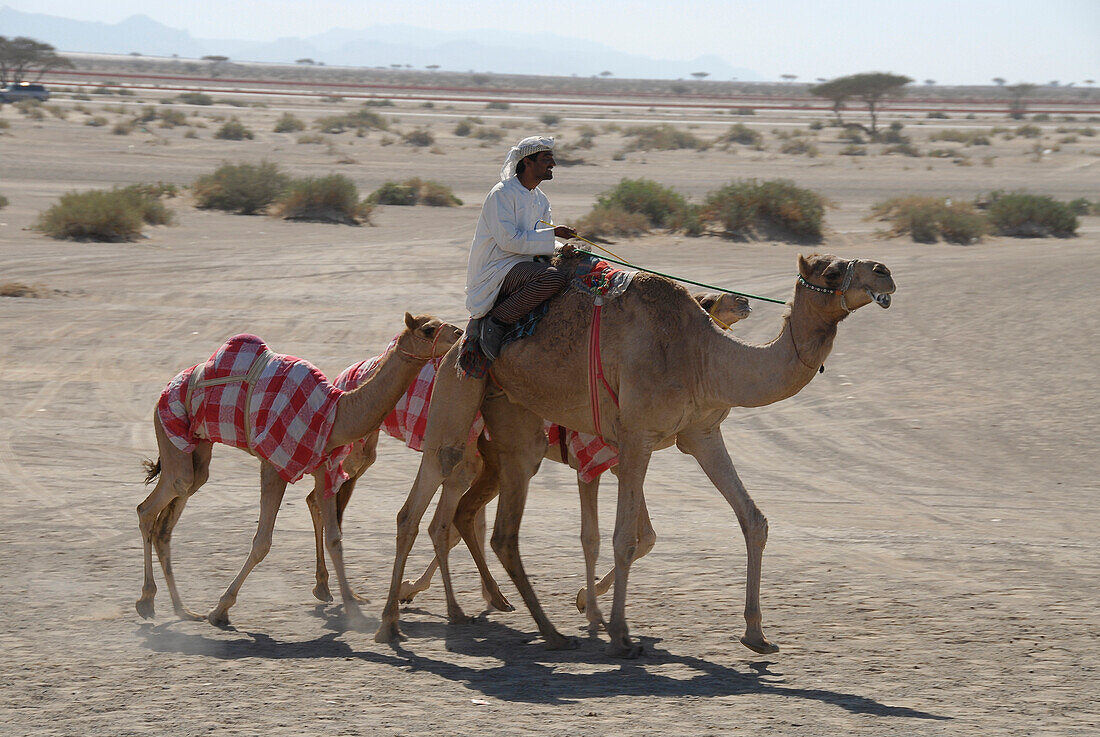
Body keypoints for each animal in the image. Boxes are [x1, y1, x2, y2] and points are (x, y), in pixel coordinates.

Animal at [136, 314, 459, 633]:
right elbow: (262, 541)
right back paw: (147, 602)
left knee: (172, 514)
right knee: (151, 505)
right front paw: (220, 609)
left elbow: (335, 539)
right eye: (428, 329)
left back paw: (182, 610)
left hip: (198, 449)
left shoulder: (323, 467)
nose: (458, 334)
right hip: (168, 427)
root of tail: (168, 386)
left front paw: (353, 609)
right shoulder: (274, 464)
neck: (335, 413)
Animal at [376, 255, 893, 660]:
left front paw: (756, 634)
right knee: (433, 507)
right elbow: (626, 538)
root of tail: (459, 340)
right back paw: (402, 621)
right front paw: (618, 633)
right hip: (460, 401)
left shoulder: (699, 433)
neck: (703, 354)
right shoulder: (636, 436)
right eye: (831, 269)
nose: (884, 272)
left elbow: (752, 519)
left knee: (472, 521)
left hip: (511, 426)